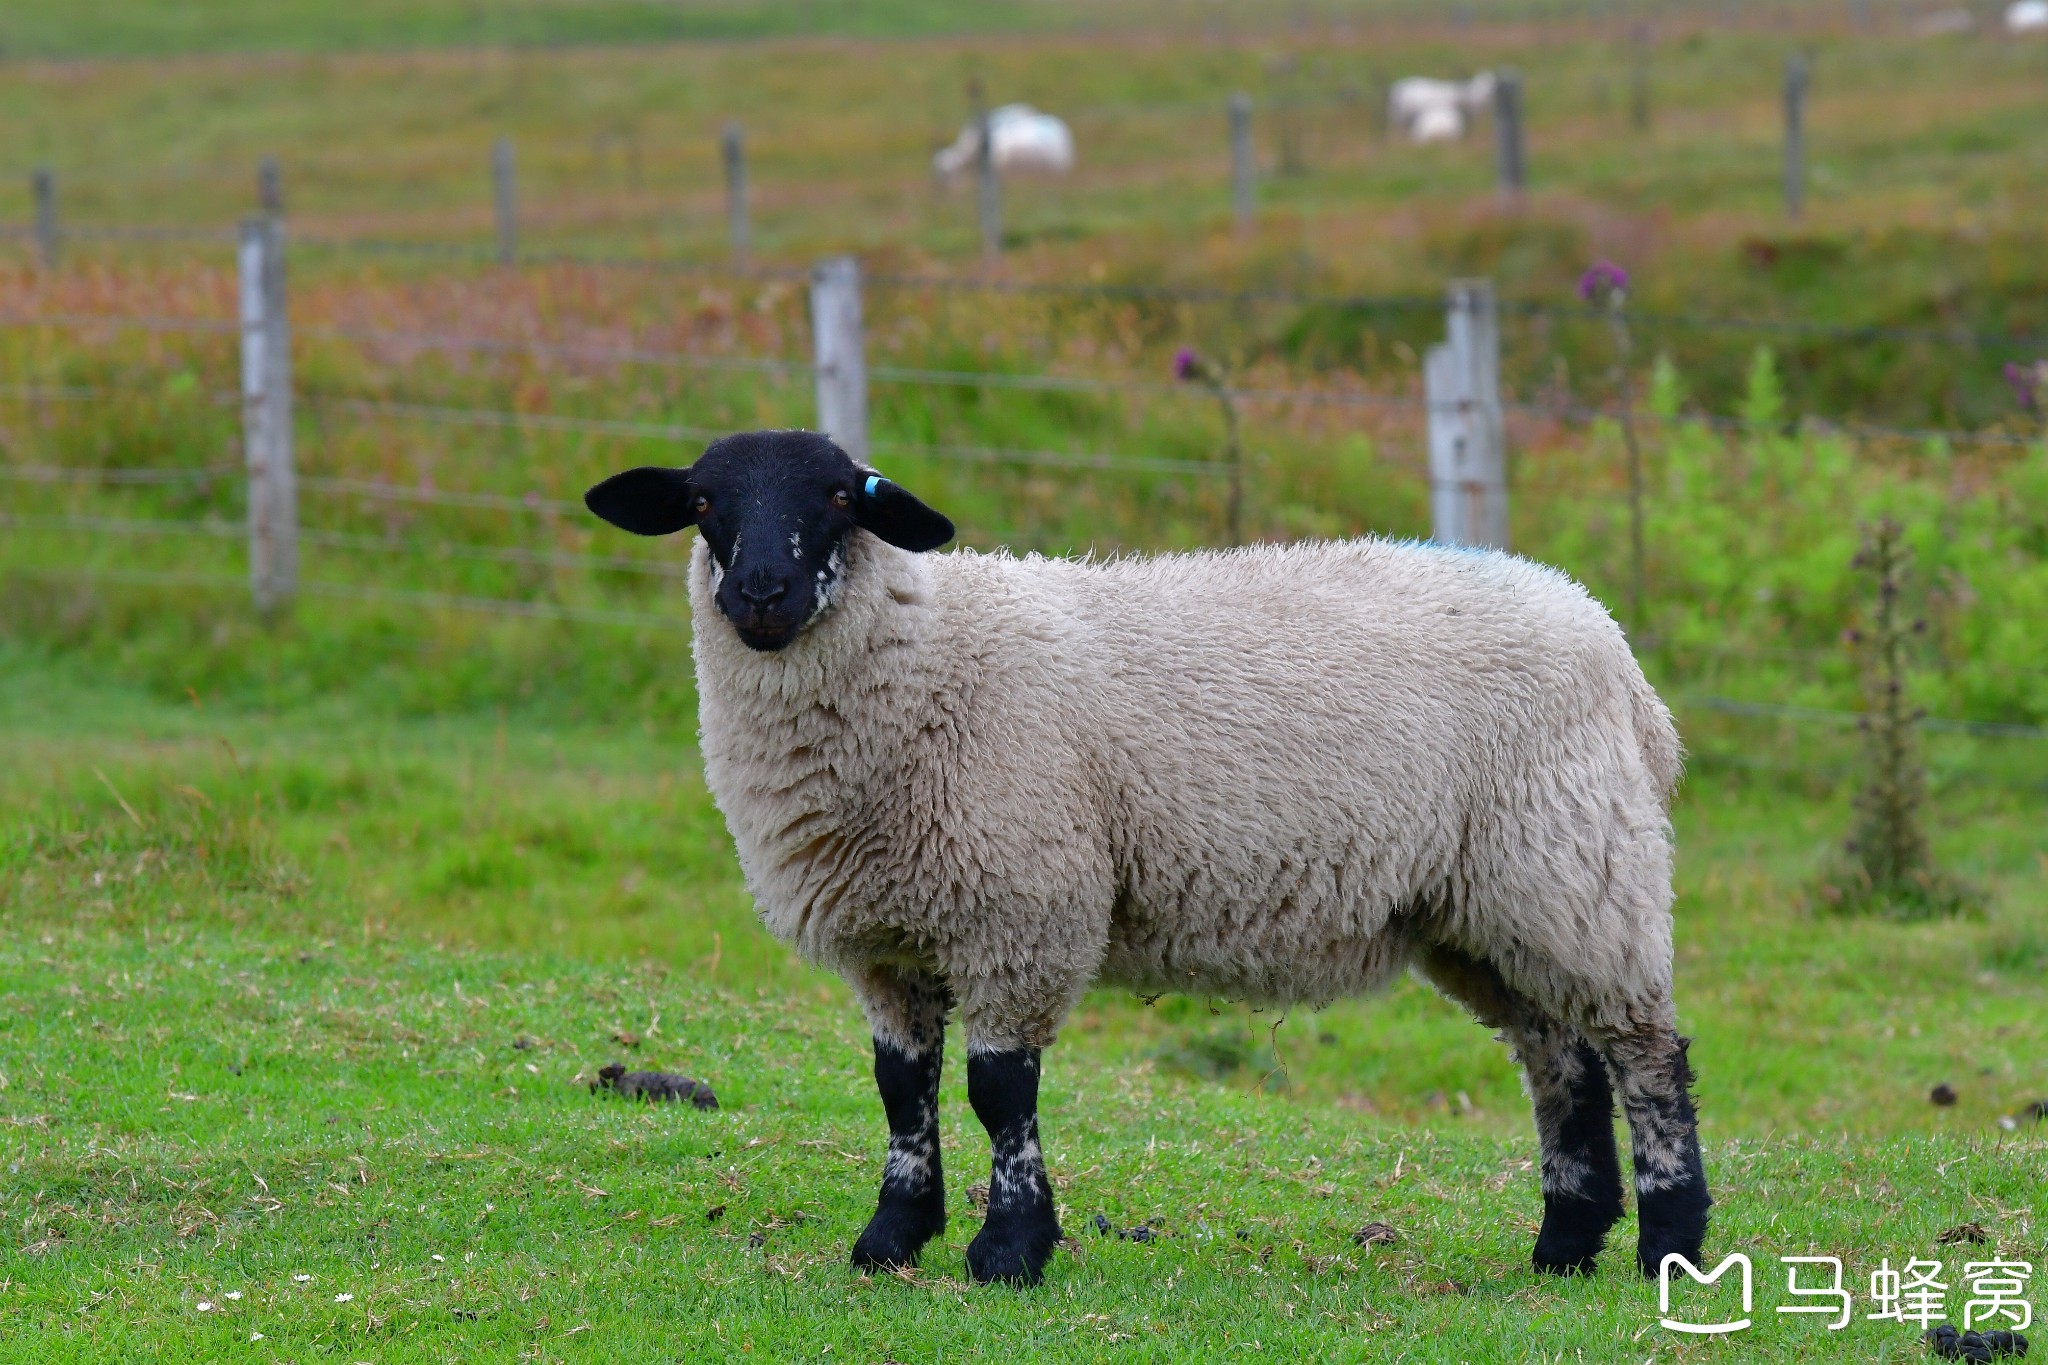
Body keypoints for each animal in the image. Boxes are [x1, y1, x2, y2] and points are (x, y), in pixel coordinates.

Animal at [581, 429, 1712, 1293]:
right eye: (702, 501)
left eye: (836, 498)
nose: (762, 592)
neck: (927, 658)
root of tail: (1614, 652)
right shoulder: (887, 939)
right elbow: (901, 1090)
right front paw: (891, 1238)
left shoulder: (1021, 906)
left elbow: (997, 1091)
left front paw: (1008, 1250)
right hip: (1484, 907)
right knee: (1559, 1062)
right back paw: (1564, 1243)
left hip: (1574, 868)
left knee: (1644, 1053)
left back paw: (1669, 1243)